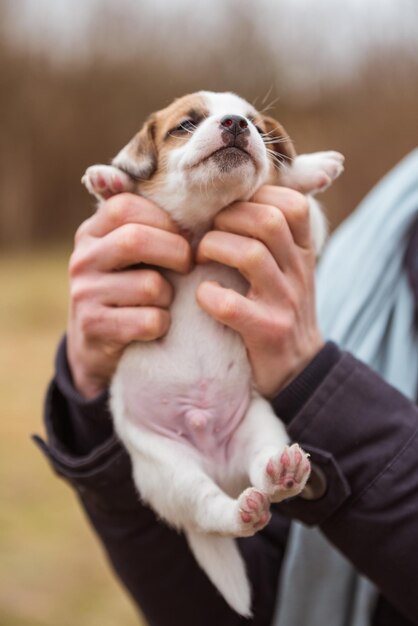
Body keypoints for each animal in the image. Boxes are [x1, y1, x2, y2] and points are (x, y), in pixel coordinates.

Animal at [81, 92, 342, 616]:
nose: (236, 123)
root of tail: (221, 470)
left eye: (258, 126)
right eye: (186, 124)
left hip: (259, 426)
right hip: (169, 471)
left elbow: (289, 184)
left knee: (262, 469)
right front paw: (111, 179)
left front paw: (311, 167)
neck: (204, 225)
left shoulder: (305, 222)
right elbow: (122, 197)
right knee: (211, 512)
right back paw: (242, 508)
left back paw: (282, 475)